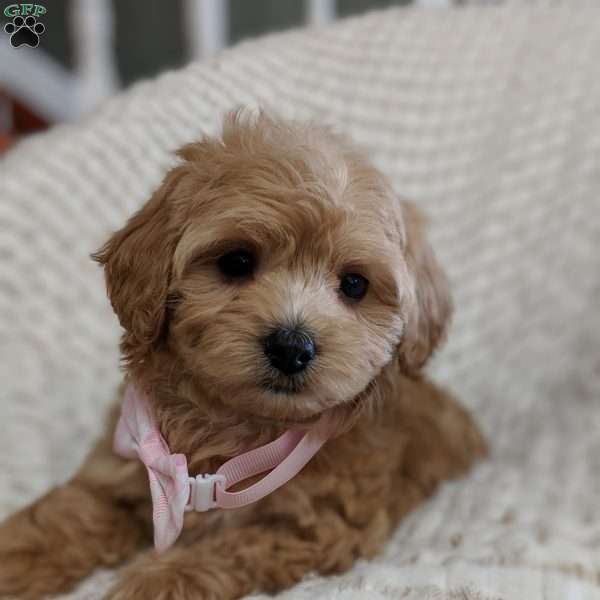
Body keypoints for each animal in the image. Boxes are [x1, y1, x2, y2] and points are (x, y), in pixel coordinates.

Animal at [0, 112, 486, 600]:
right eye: (236, 261)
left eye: (354, 284)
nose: (292, 347)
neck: (238, 426)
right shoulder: (121, 466)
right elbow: (68, 515)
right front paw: (14, 555)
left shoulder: (321, 527)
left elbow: (231, 546)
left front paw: (157, 580)